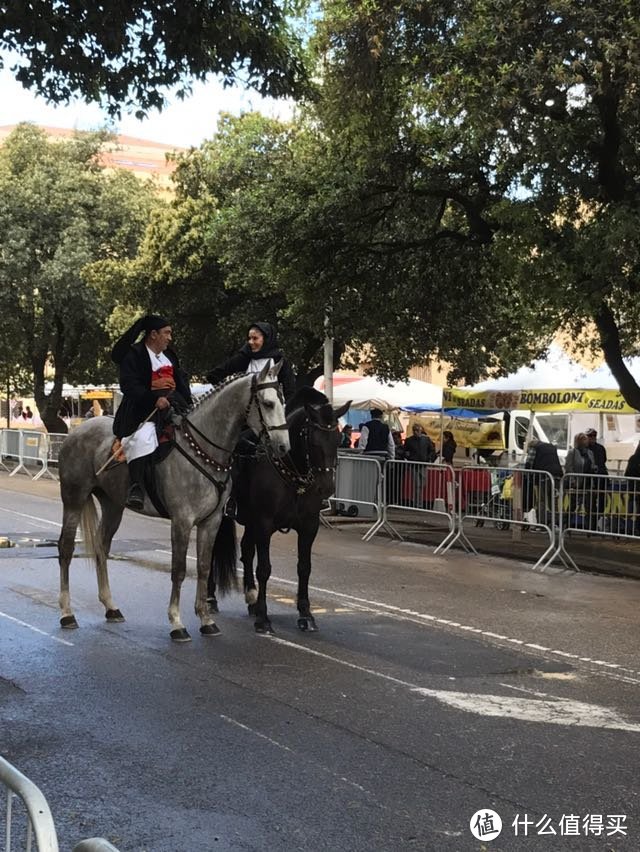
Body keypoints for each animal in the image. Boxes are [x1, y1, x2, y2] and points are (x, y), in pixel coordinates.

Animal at [57, 362, 288, 644]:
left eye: (283, 402)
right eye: (267, 403)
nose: (283, 447)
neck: (203, 450)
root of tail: (76, 431)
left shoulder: (210, 521)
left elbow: (203, 567)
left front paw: (206, 620)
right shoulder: (182, 520)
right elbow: (178, 569)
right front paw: (177, 622)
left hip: (112, 504)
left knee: (102, 547)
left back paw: (111, 607)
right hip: (74, 498)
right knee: (66, 548)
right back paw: (67, 613)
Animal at [209, 390, 350, 628]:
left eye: (338, 440)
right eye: (312, 439)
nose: (326, 488)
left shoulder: (309, 527)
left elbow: (304, 567)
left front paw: (305, 613)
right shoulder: (265, 524)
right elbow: (264, 569)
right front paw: (263, 618)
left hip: (250, 521)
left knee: (247, 550)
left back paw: (251, 598)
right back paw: (211, 599)